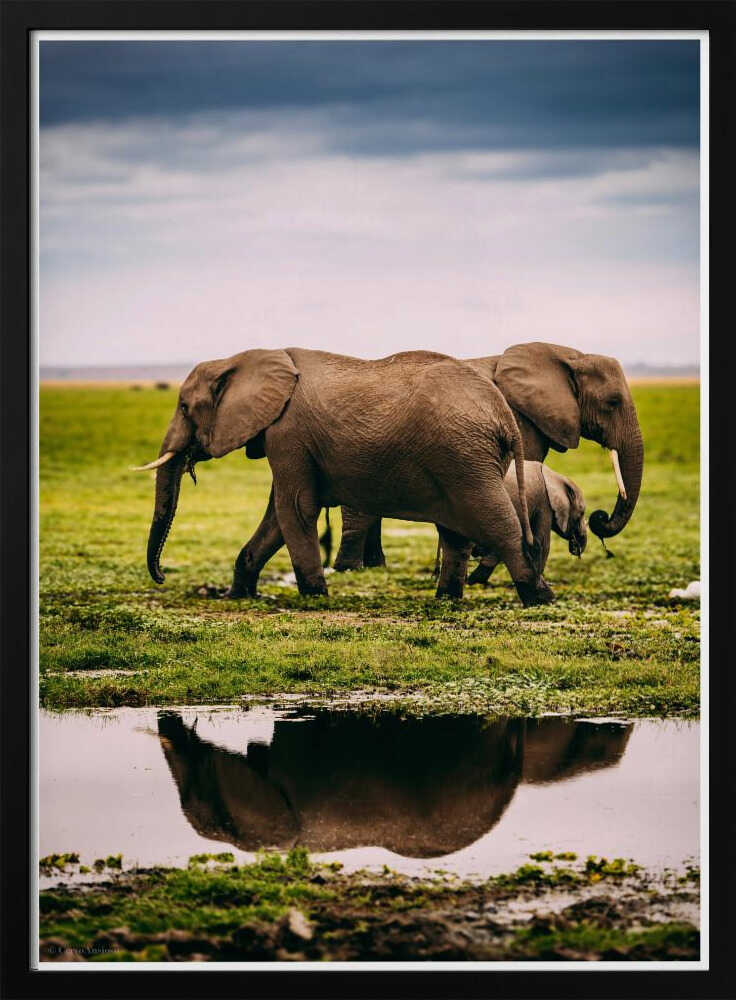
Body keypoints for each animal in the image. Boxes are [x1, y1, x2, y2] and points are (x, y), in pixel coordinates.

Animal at [133, 348, 553, 606]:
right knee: (455, 533)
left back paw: (539, 597)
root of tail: (503, 413)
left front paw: (314, 596)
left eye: (184, 407)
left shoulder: (288, 433)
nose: (161, 577)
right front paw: (237, 596)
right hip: (461, 460)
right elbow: (275, 517)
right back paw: (446, 599)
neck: (244, 358)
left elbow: (293, 509)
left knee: (496, 522)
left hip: (465, 457)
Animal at [333, 342, 644, 573]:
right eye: (612, 402)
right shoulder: (520, 419)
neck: (569, 356)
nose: (600, 518)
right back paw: (350, 569)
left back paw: (374, 566)